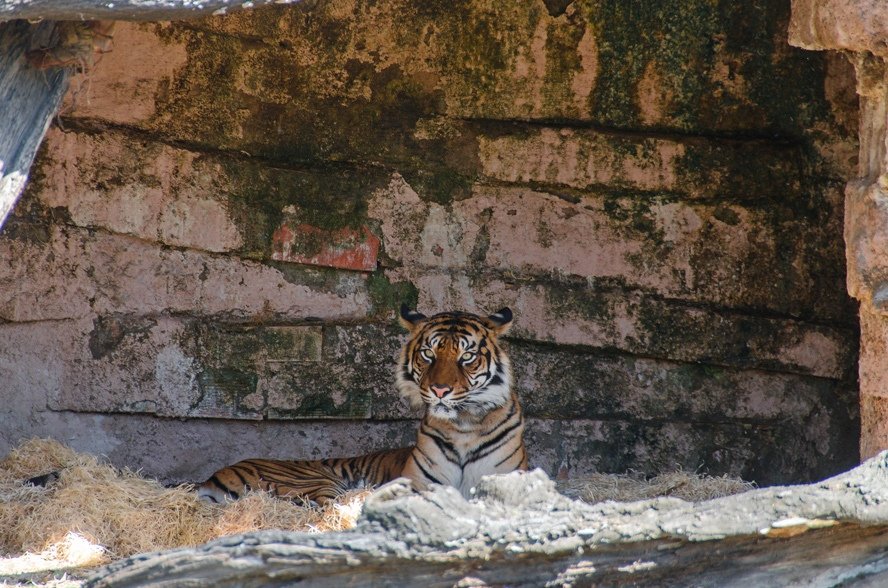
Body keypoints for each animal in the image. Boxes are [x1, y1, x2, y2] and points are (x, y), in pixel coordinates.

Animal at [197, 304, 524, 506]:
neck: (464, 426)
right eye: (428, 354)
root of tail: (215, 476)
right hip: (315, 481)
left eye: (466, 357)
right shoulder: (417, 482)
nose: (440, 390)